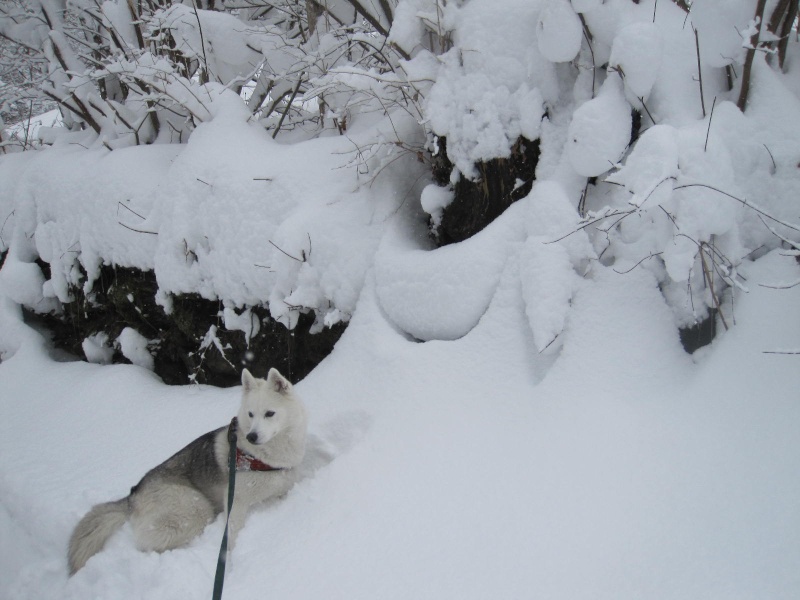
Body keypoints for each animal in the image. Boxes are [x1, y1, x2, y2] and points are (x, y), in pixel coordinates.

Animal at [68, 368, 306, 576]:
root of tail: (133, 494)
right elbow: (231, 537)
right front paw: (228, 563)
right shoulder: (236, 501)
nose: (251, 436)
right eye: (250, 414)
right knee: (147, 541)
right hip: (195, 508)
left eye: (269, 414)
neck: (262, 457)